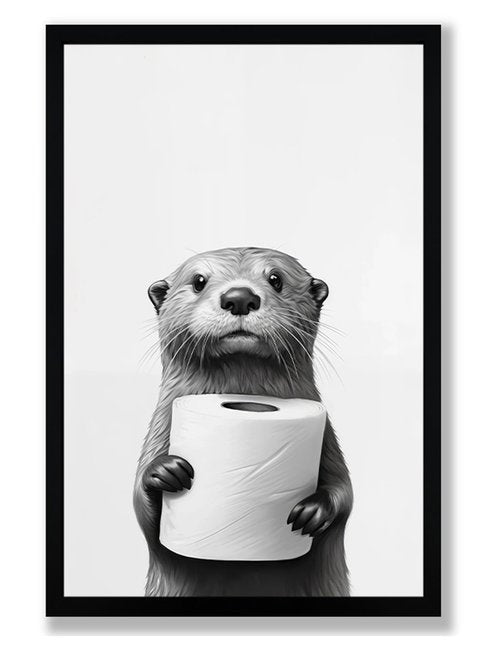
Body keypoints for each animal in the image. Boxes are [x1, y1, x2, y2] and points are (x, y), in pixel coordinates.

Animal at [134, 247, 352, 596]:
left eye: (276, 278)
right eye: (198, 281)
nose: (239, 297)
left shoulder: (328, 441)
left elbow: (345, 494)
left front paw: (314, 511)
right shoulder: (159, 430)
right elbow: (142, 511)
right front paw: (164, 471)